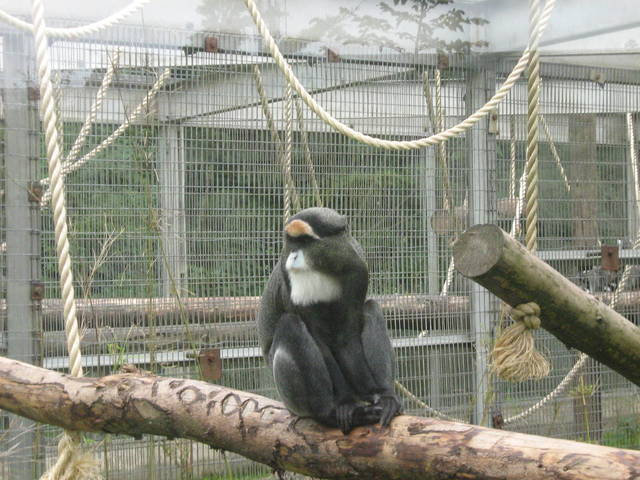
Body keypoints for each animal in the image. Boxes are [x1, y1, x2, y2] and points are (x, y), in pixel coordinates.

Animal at [258, 207, 402, 434]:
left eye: (306, 241)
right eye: (292, 242)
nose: (293, 257)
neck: (325, 269)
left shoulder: (358, 270)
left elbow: (347, 338)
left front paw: (380, 395)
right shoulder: (287, 279)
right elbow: (318, 340)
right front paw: (344, 405)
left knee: (371, 308)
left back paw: (382, 395)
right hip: (292, 402)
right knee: (290, 324)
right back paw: (329, 413)